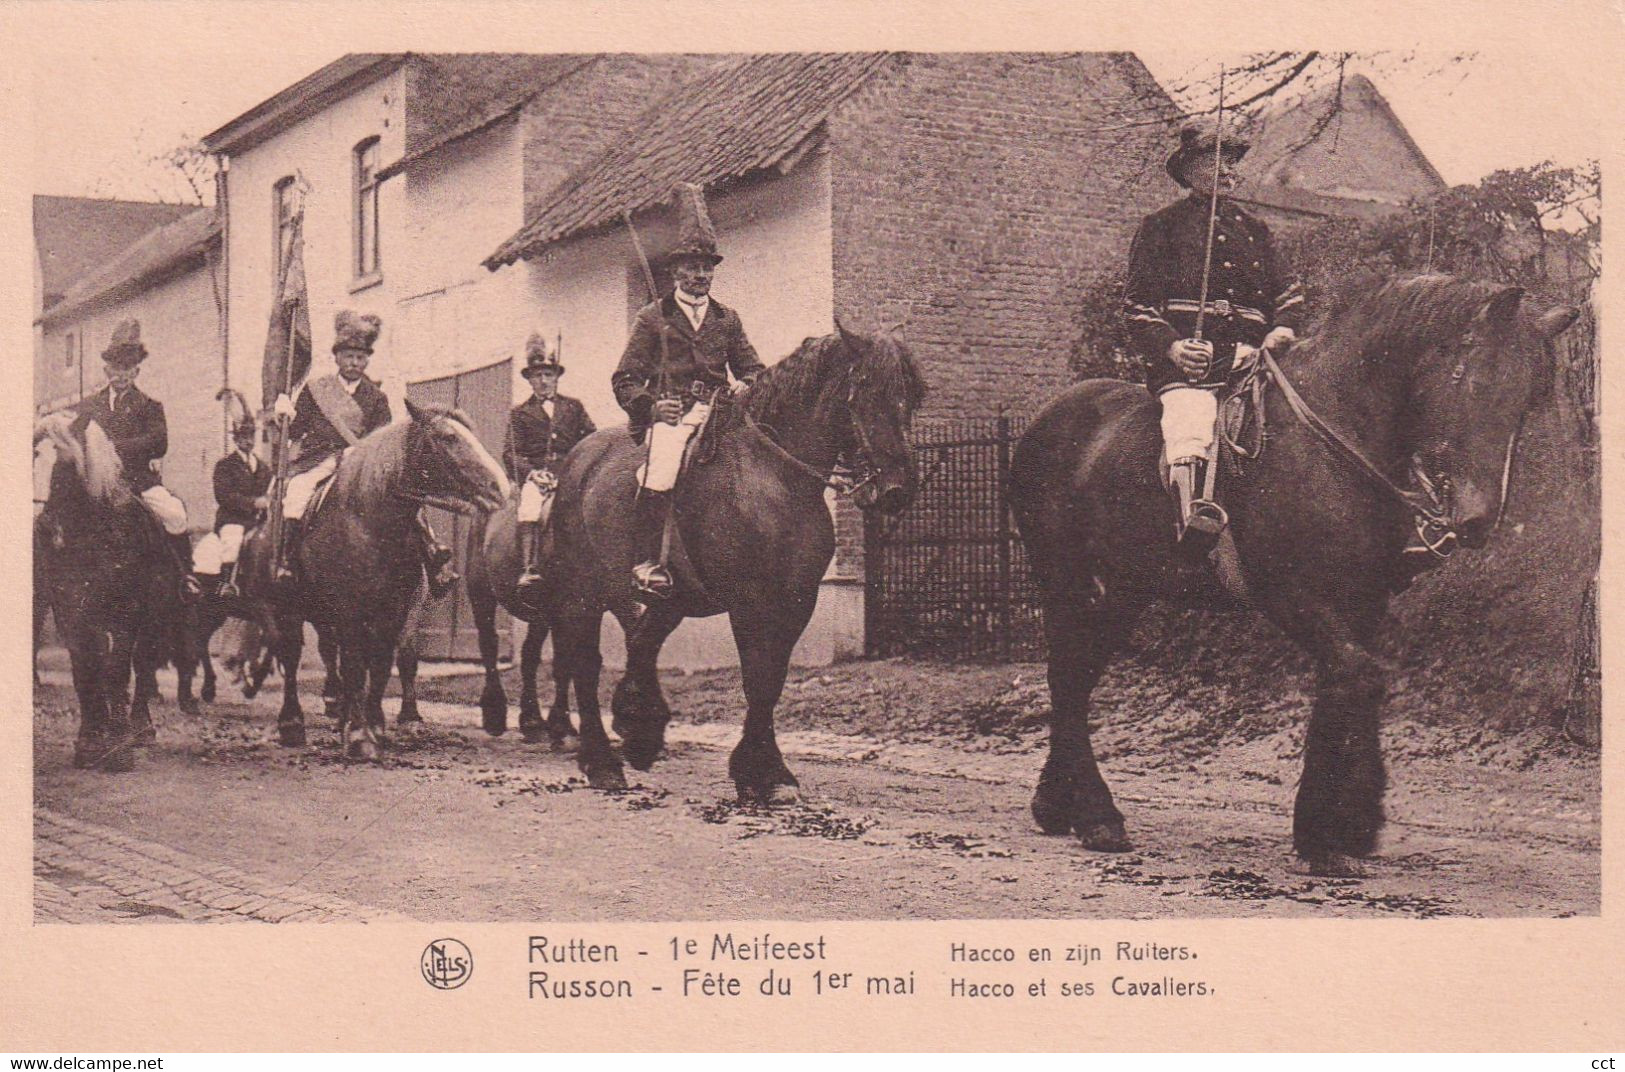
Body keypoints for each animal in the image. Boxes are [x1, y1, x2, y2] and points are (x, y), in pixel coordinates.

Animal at [240, 402, 503, 763]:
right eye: (447, 437)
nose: (499, 487)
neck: (371, 524)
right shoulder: (350, 612)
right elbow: (354, 666)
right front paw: (360, 736)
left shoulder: (396, 611)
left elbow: (381, 664)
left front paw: (375, 726)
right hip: (282, 607)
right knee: (291, 656)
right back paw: (293, 722)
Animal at [542, 323, 929, 799]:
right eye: (865, 391)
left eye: (913, 396)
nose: (898, 489)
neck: (776, 478)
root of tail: (577, 460)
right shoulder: (749, 601)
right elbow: (756, 677)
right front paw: (755, 771)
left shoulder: (798, 600)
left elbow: (772, 679)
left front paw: (770, 770)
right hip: (582, 594)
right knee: (585, 662)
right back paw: (601, 762)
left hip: (665, 599)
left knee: (641, 642)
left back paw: (639, 732)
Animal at [1007, 277, 1579, 877]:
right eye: (1470, 380)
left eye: (1527, 399)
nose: (1477, 520)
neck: (1336, 438)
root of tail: (1049, 419)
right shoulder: (1292, 596)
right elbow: (1355, 674)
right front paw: (1324, 833)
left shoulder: (1362, 603)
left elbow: (1353, 680)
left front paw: (1349, 826)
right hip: (1068, 585)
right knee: (1068, 678)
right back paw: (1095, 814)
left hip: (1122, 593)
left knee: (1078, 676)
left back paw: (1059, 804)